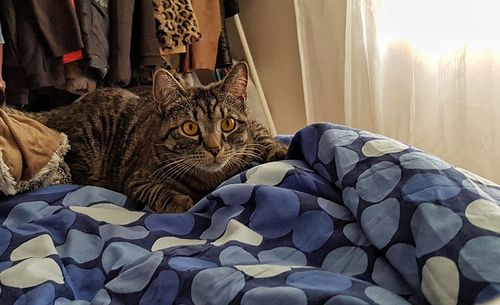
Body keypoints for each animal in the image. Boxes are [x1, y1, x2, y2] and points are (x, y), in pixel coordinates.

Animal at [25, 62, 288, 211]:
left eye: (228, 123)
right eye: (190, 128)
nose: (214, 148)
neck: (211, 178)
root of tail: (62, 109)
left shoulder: (253, 126)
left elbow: (261, 134)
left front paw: (279, 149)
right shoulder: (135, 178)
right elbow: (155, 190)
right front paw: (179, 201)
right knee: (81, 176)